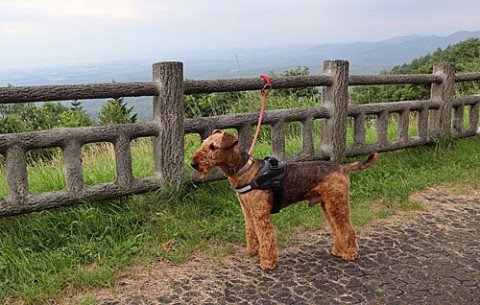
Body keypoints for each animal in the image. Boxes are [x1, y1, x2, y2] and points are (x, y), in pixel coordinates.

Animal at [189, 128, 376, 268]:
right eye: (203, 144)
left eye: (213, 147)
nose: (193, 163)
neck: (245, 170)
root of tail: (341, 167)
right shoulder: (248, 212)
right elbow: (251, 232)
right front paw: (253, 251)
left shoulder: (260, 213)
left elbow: (266, 237)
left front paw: (267, 262)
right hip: (328, 205)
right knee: (337, 229)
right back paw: (338, 250)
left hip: (337, 205)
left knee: (348, 230)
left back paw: (350, 254)